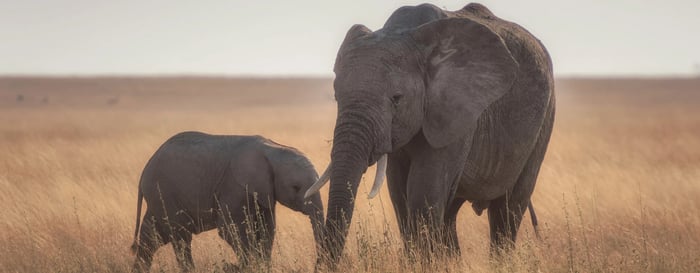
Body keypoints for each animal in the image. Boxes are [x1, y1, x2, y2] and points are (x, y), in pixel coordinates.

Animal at [130, 131, 324, 270]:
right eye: (296, 187)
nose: (317, 266)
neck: (273, 149)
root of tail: (144, 172)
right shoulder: (234, 186)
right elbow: (230, 229)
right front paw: (245, 267)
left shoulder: (263, 192)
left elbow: (267, 229)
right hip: (163, 193)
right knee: (181, 237)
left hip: (158, 197)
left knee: (151, 237)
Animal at [304, 2, 552, 264]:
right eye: (336, 96)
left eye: (397, 98)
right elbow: (400, 193)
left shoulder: (456, 110)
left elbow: (423, 193)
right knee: (451, 211)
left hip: (545, 119)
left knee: (508, 208)